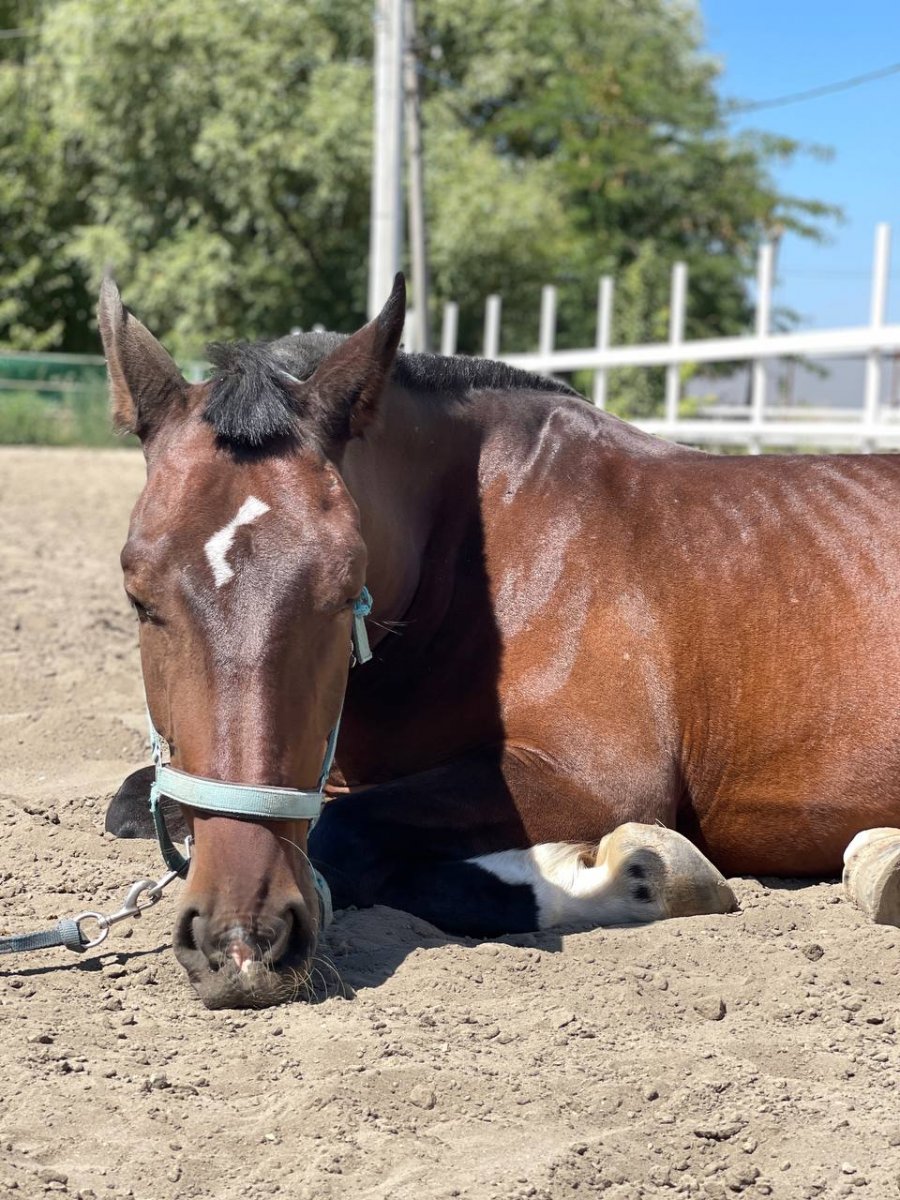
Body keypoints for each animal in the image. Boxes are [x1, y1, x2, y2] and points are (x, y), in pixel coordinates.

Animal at [98, 270, 900, 1003]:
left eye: (345, 590)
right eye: (138, 597)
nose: (239, 942)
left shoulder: (600, 776)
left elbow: (349, 842)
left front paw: (643, 873)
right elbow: (137, 801)